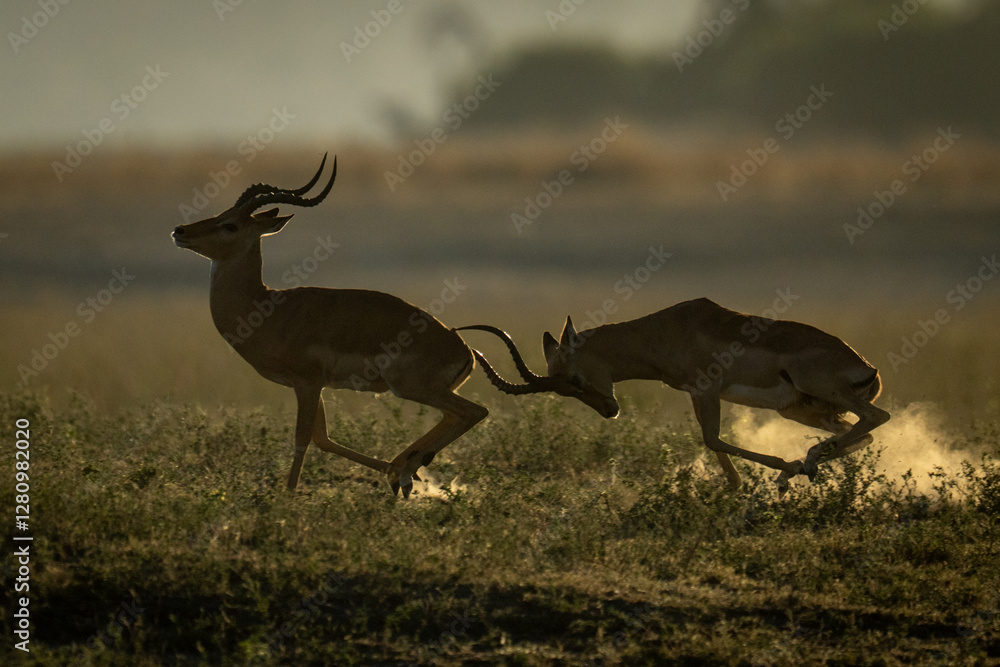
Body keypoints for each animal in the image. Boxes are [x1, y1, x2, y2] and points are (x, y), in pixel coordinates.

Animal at [172, 154, 487, 498]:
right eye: (221, 213)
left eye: (231, 225)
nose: (179, 230)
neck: (264, 309)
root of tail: (467, 351)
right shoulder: (313, 385)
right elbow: (323, 439)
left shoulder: (307, 382)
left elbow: (303, 440)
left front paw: (287, 497)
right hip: (425, 390)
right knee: (454, 415)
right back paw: (404, 472)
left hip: (410, 387)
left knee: (474, 411)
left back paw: (405, 471)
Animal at [459, 298, 890, 489]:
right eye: (563, 390)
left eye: (575, 379)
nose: (609, 410)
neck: (662, 333)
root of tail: (866, 368)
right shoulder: (695, 394)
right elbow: (712, 442)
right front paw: (745, 485)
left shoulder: (707, 389)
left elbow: (712, 438)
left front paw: (783, 468)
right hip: (801, 410)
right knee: (859, 434)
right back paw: (807, 467)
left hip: (818, 392)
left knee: (876, 417)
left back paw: (804, 465)